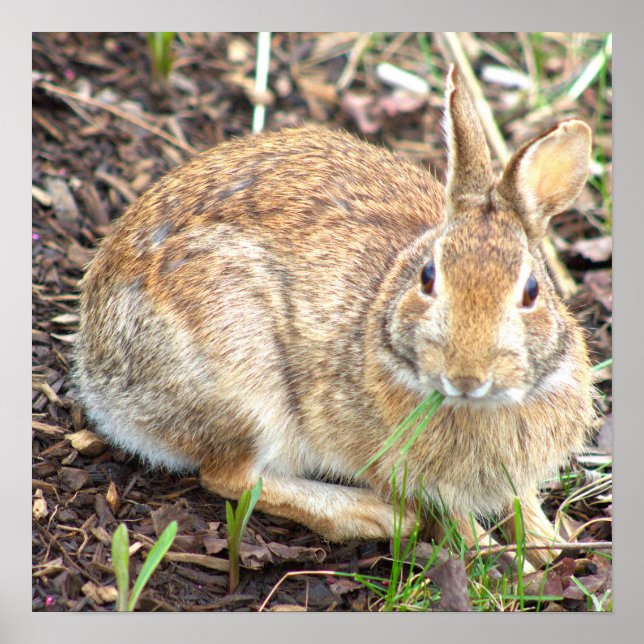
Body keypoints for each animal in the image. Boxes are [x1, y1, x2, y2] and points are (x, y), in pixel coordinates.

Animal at [74, 65, 595, 569]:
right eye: (428, 278)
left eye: (531, 291)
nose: (466, 376)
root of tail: (99, 381)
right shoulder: (415, 474)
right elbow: (458, 520)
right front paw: (502, 560)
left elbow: (521, 503)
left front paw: (553, 548)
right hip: (245, 383)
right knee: (230, 476)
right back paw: (374, 515)